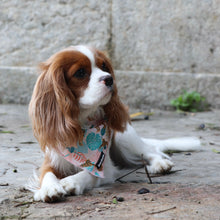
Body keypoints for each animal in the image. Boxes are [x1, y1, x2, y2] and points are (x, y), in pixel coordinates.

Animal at [27, 45, 201, 202]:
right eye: (80, 72)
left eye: (104, 66)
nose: (109, 78)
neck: (83, 125)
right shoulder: (52, 158)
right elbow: (47, 174)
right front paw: (49, 188)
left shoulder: (104, 168)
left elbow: (89, 174)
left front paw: (69, 182)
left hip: (125, 138)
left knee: (150, 151)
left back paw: (160, 164)